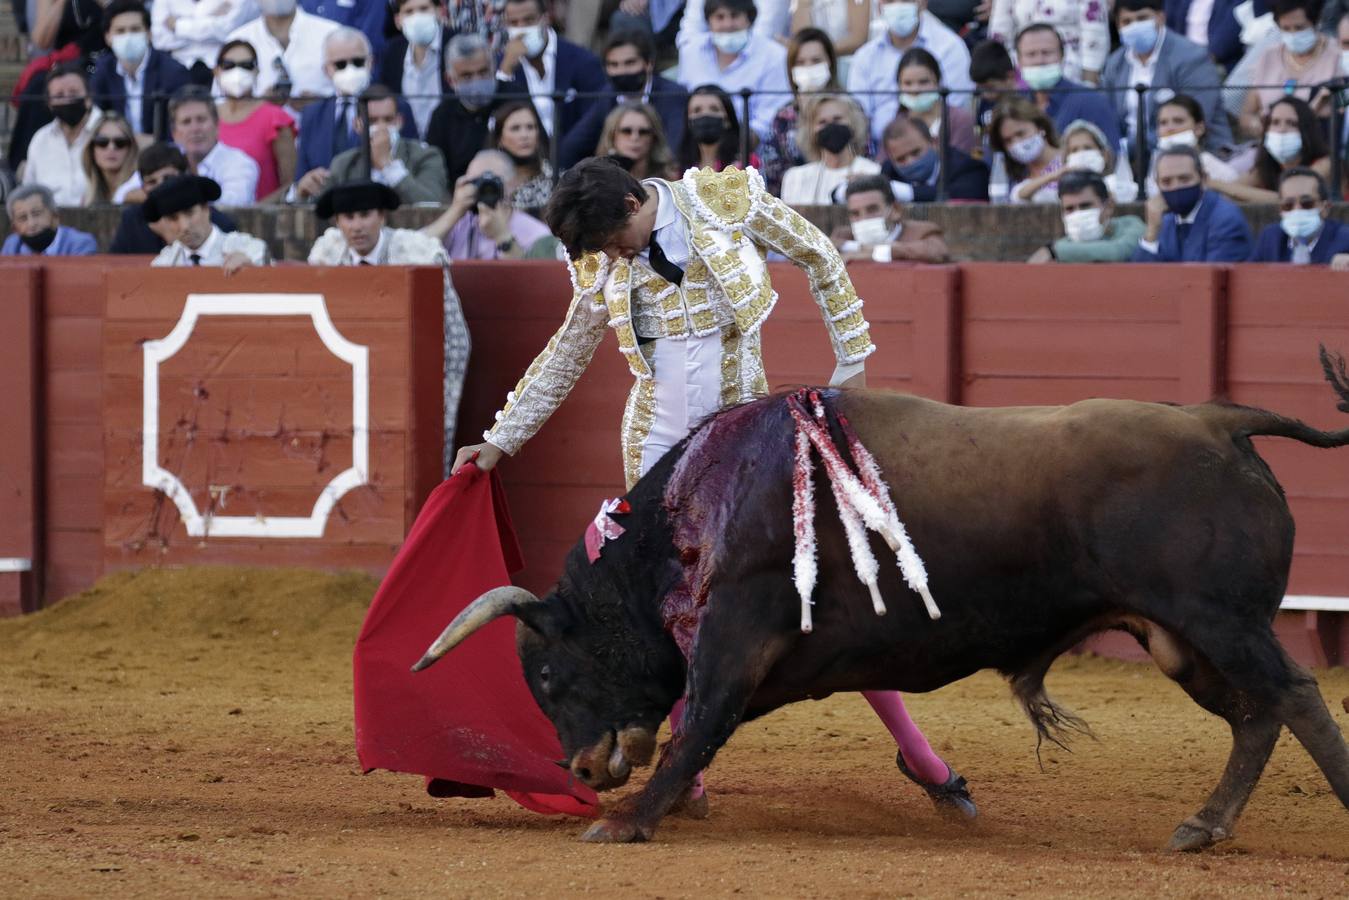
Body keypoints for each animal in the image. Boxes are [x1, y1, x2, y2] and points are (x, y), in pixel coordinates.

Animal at [410, 348, 1349, 847]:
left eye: (550, 676)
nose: (578, 769)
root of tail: (1216, 419)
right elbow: (698, 729)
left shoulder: (736, 635)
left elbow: (697, 724)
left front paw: (628, 821)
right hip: (1178, 639)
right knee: (1257, 716)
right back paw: (1201, 826)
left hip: (1218, 623)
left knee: (1295, 696)